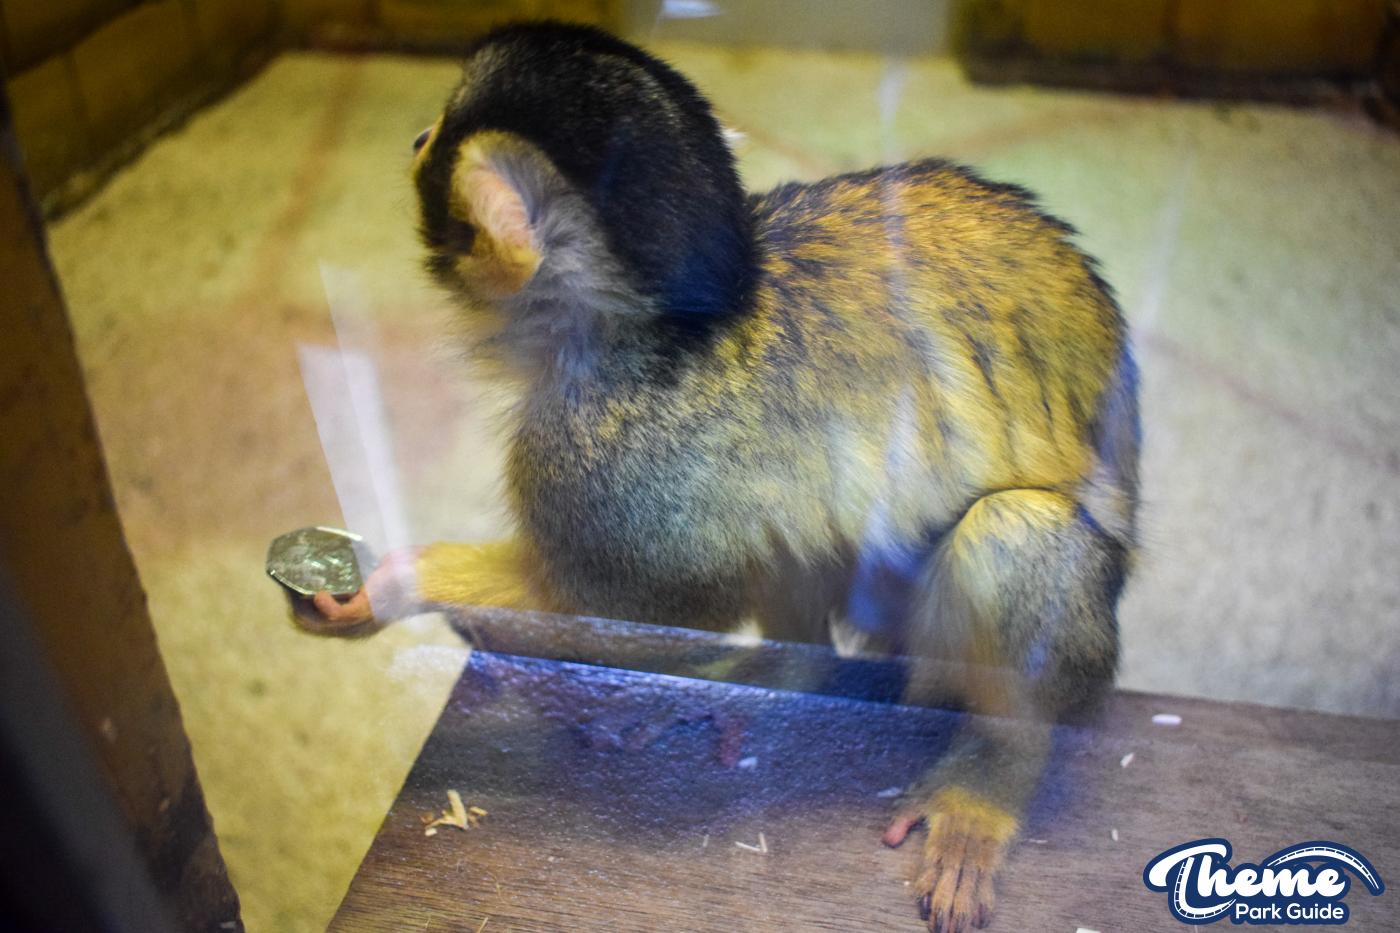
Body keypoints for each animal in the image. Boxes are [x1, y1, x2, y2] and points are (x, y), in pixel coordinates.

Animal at [295, 22, 1138, 933]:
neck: (648, 325)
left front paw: (393, 585)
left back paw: (991, 774)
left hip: (1049, 651)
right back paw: (791, 671)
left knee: (1015, 533)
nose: (415, 134)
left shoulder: (596, 449)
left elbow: (646, 609)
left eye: (432, 142)